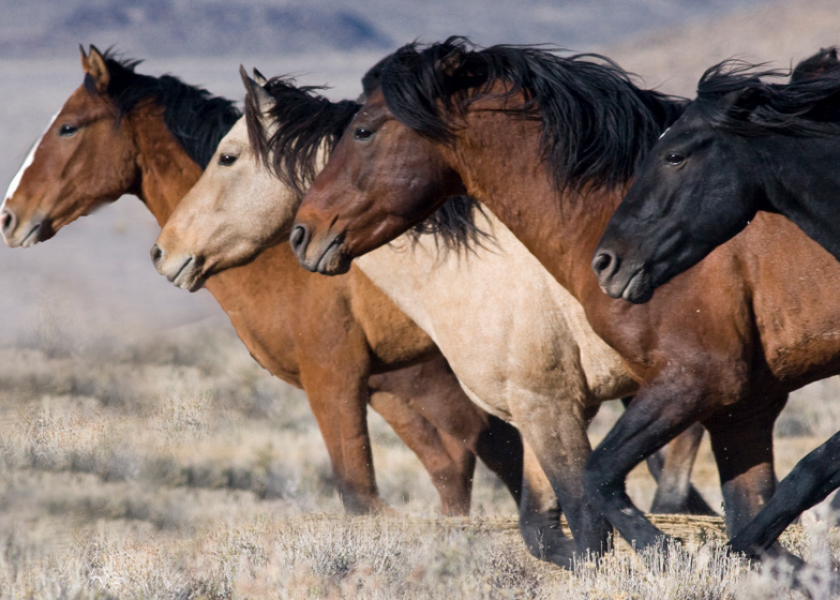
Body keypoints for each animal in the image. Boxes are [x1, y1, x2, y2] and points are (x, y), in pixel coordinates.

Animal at [0, 45, 528, 519]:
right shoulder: (397, 382)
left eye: (68, 127)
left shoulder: (335, 379)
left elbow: (362, 494)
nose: (9, 216)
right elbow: (453, 471)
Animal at [151, 66, 717, 565]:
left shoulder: (551, 403)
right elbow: (546, 532)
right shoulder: (539, 410)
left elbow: (588, 524)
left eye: (227, 157)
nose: (164, 252)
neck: (483, 264)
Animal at [289, 37, 840, 560]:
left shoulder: (695, 379)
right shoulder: (741, 408)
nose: (303, 233)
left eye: (363, 131)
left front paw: (671, 554)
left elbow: (597, 495)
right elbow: (751, 514)